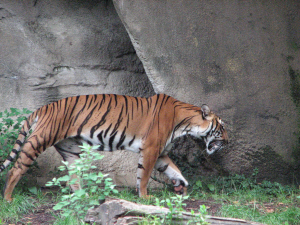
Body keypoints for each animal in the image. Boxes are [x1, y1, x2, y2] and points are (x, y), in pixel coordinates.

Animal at [0, 93, 227, 202]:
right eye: (222, 127)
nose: (227, 140)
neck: (184, 123)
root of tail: (44, 107)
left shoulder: (161, 152)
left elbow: (173, 169)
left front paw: (181, 184)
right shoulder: (151, 149)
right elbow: (144, 175)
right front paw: (145, 196)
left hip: (70, 150)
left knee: (74, 179)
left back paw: (84, 196)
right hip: (40, 140)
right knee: (15, 169)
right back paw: (8, 198)